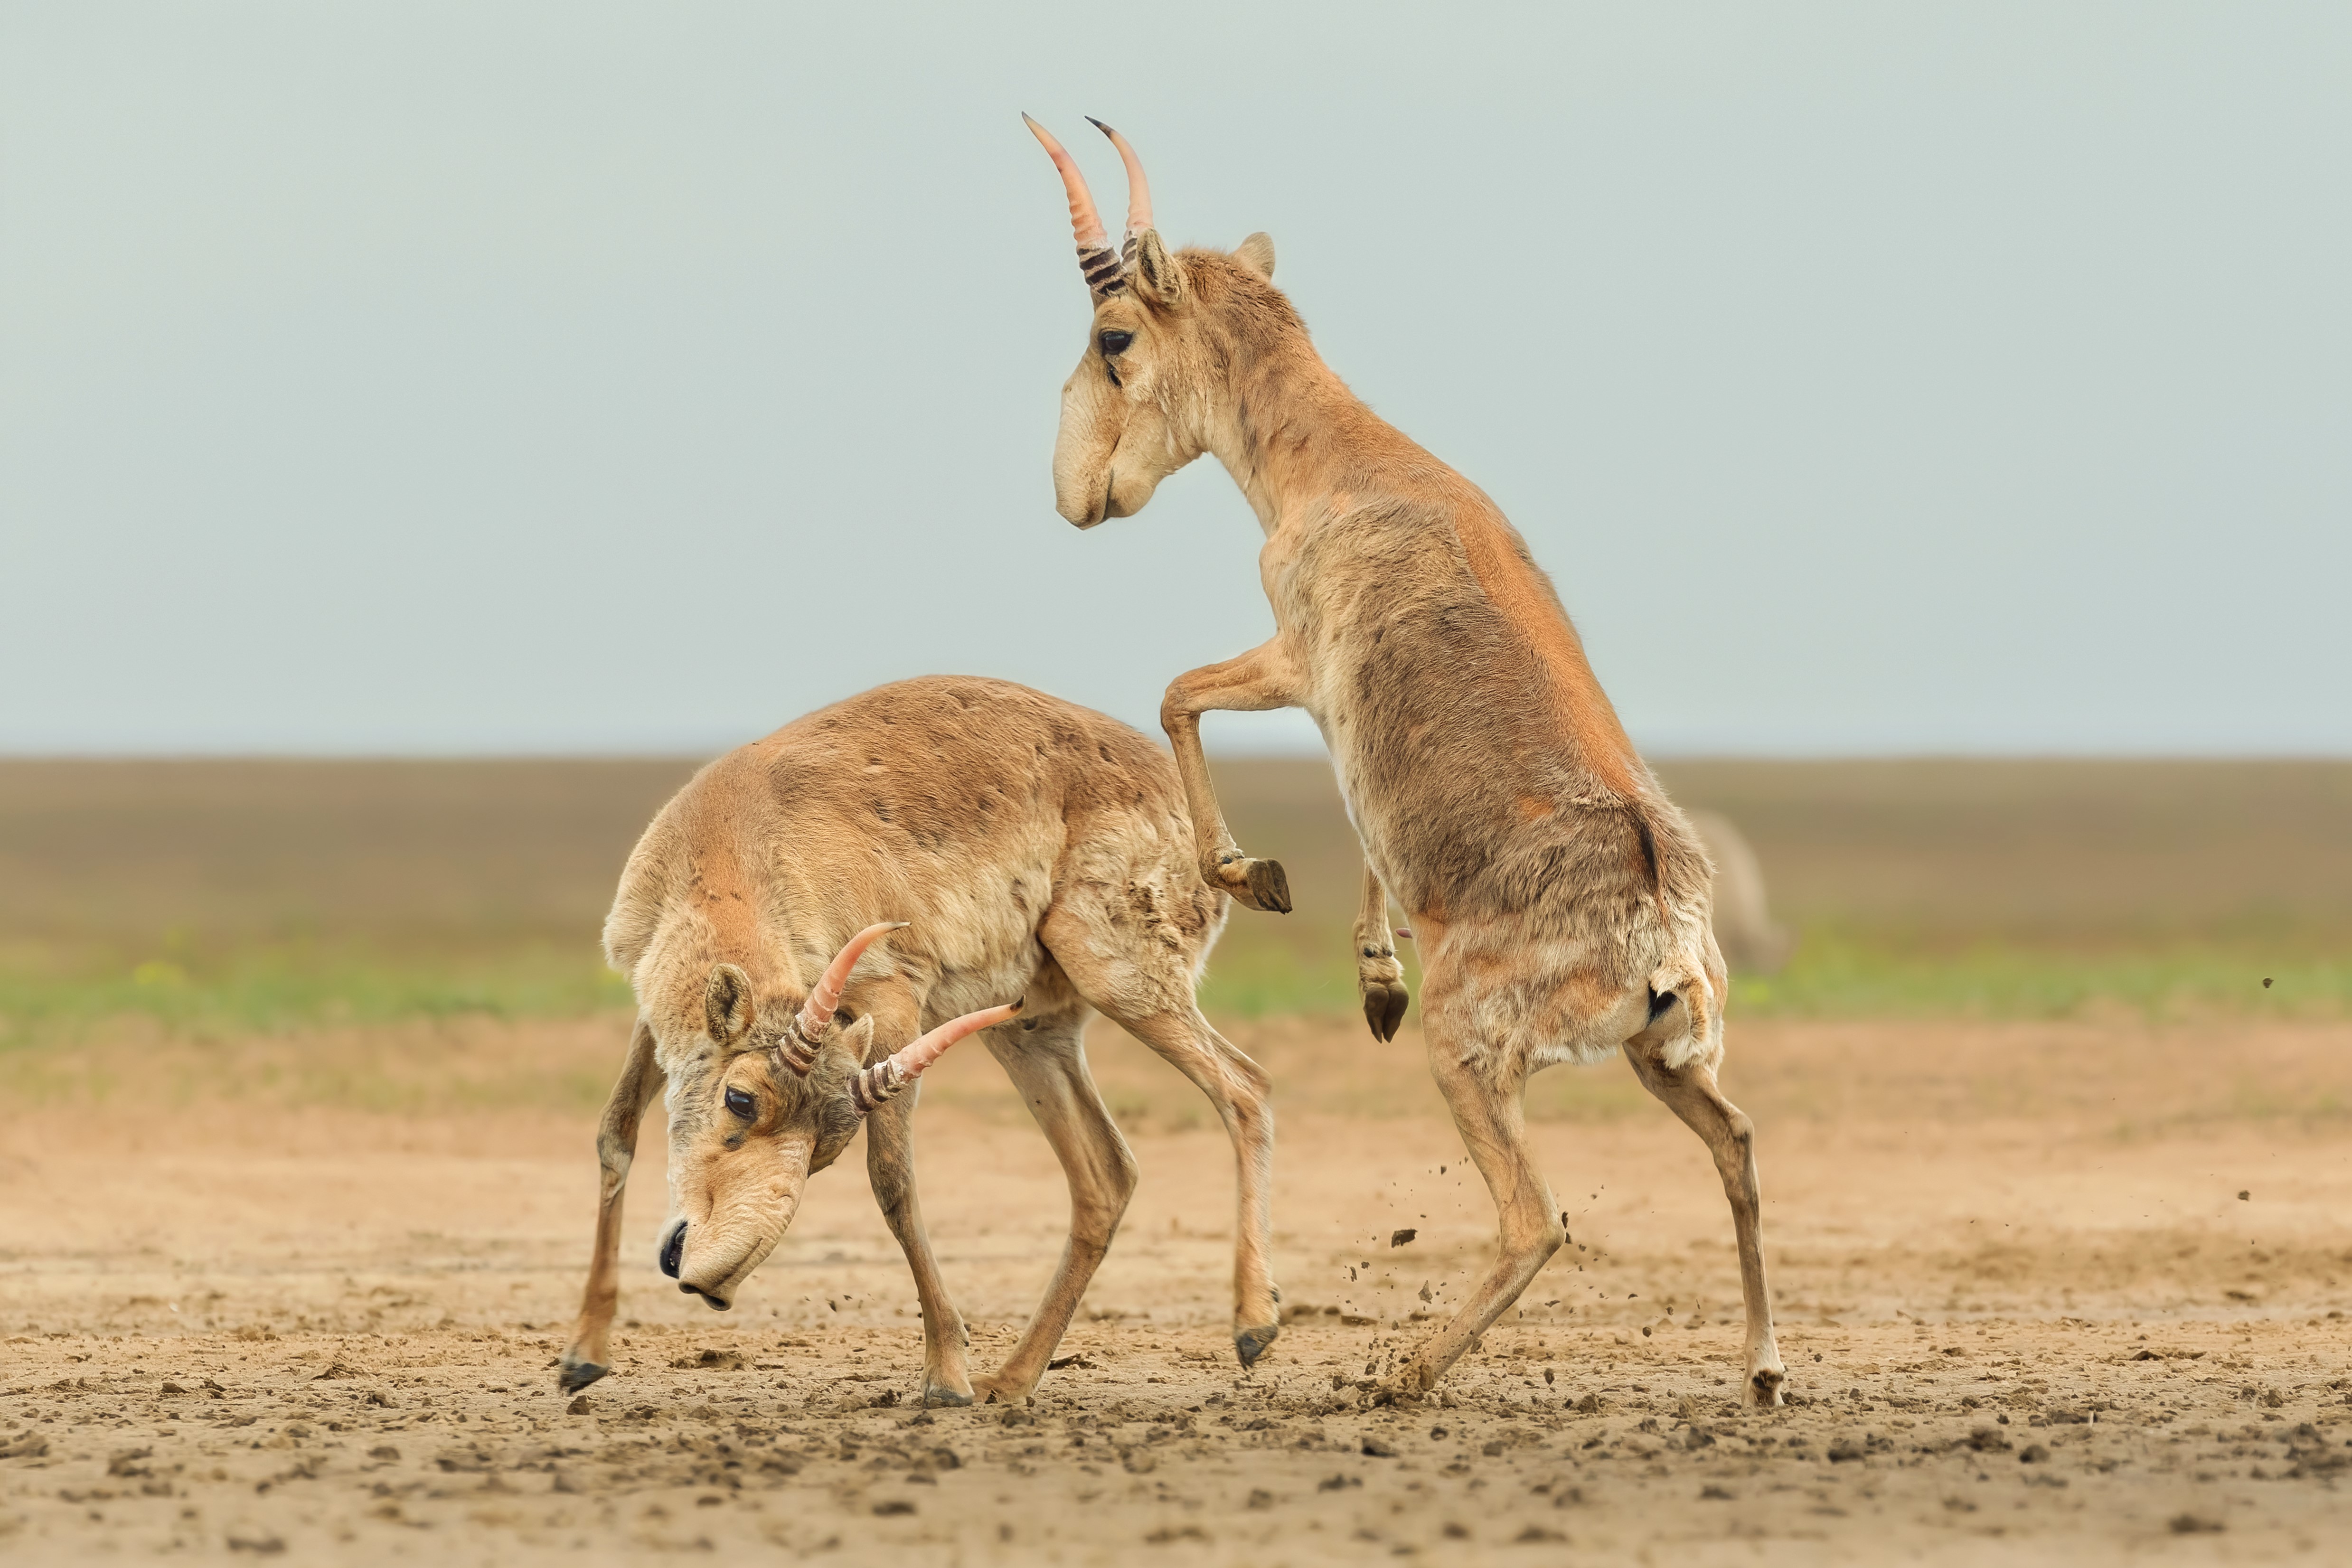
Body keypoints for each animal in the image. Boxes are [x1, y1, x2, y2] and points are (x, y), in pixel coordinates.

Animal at [555, 676, 1281, 1403]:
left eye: (824, 1151)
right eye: (740, 1099)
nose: (713, 1282)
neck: (737, 837)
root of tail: (1177, 800)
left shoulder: (892, 1005)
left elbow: (894, 1181)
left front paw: (946, 1373)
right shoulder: (658, 1014)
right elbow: (615, 1134)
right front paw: (582, 1355)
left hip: (1118, 978)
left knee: (1245, 1086)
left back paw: (1253, 1322)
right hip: (1027, 1028)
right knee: (1107, 1172)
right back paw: (1012, 1379)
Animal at [1023, 118, 1786, 1405]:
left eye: (1112, 335)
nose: (1074, 496)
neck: (1353, 464)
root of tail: (1659, 931)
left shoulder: (1296, 665)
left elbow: (1180, 698)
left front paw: (1256, 877)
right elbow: (1362, 839)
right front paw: (1366, 970)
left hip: (1473, 1055)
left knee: (1535, 1216)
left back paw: (1399, 1371)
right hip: (1662, 1060)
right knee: (1734, 1141)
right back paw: (1766, 1366)